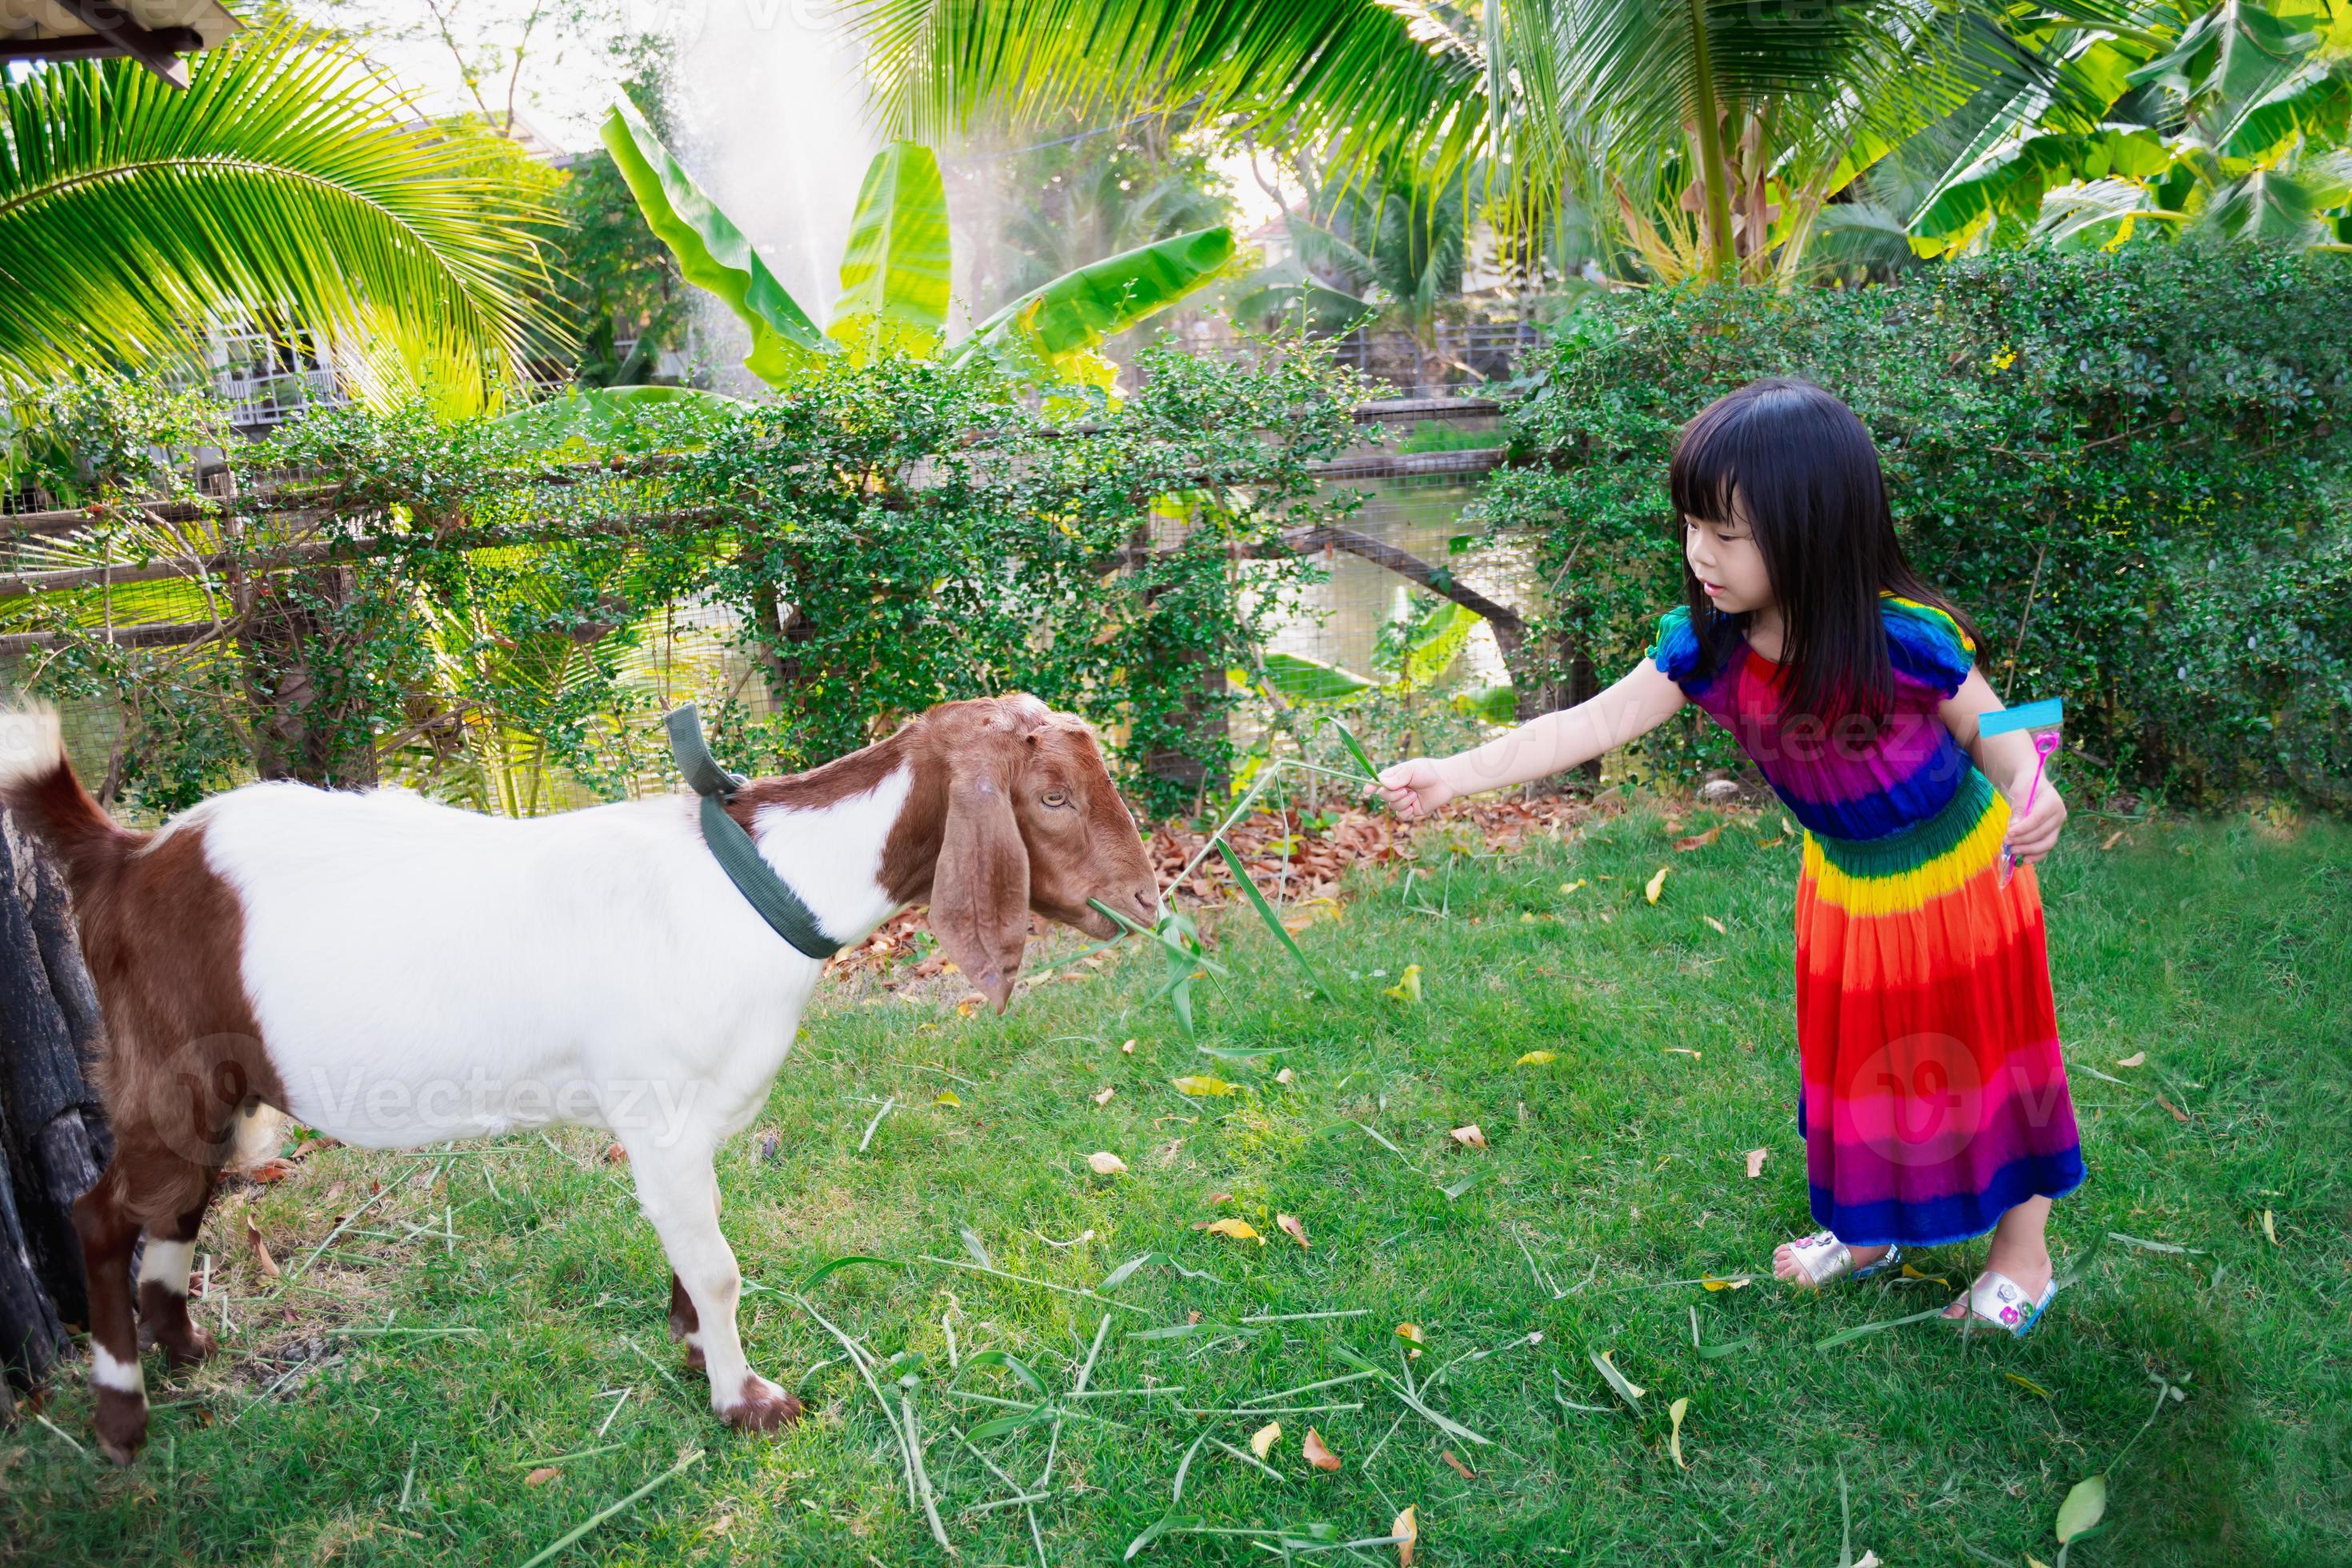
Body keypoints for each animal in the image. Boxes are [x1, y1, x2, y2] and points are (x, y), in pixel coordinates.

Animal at [0, 690, 1162, 1466]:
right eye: (1053, 795)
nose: (1149, 903)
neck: (762, 884)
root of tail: (126, 857)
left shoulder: (688, 1120)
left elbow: (694, 1252)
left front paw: (695, 1355)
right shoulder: (661, 1112)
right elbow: (722, 1265)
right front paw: (747, 1401)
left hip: (216, 1086)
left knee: (180, 1203)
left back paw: (184, 1347)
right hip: (167, 1065)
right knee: (104, 1211)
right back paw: (122, 1417)